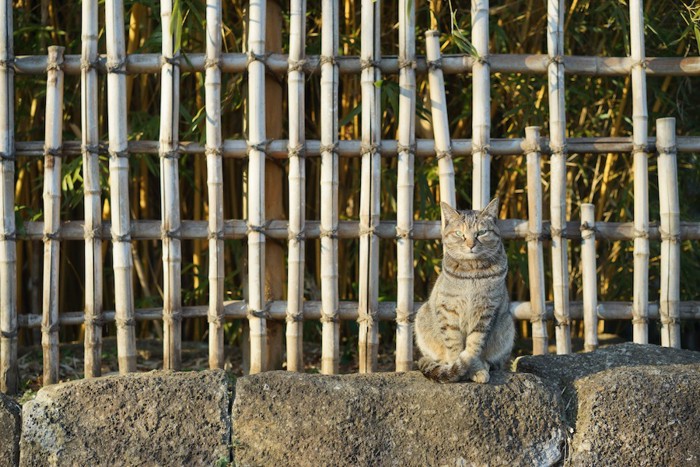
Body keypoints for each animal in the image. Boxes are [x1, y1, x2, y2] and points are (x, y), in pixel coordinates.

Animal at [416, 198, 516, 384]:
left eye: (481, 232)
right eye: (459, 234)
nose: (470, 244)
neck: (472, 272)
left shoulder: (487, 310)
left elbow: (474, 344)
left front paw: (475, 368)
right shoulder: (448, 309)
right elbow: (454, 343)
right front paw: (458, 369)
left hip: (507, 326)